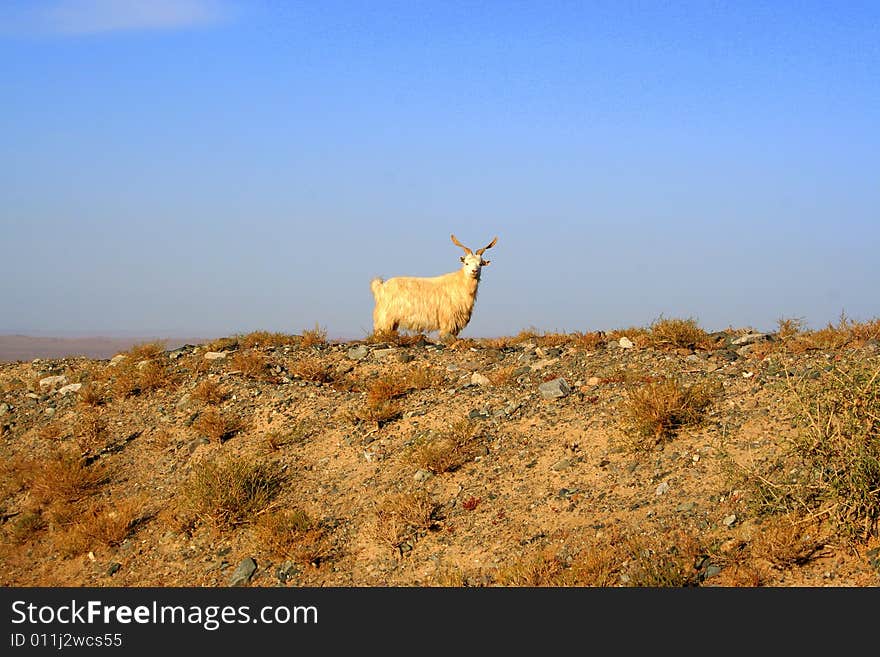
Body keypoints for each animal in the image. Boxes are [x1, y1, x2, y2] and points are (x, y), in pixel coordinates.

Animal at [370, 233, 498, 340]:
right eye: (466, 263)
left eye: (480, 264)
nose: (474, 271)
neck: (460, 284)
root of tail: (381, 287)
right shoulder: (448, 318)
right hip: (385, 318)